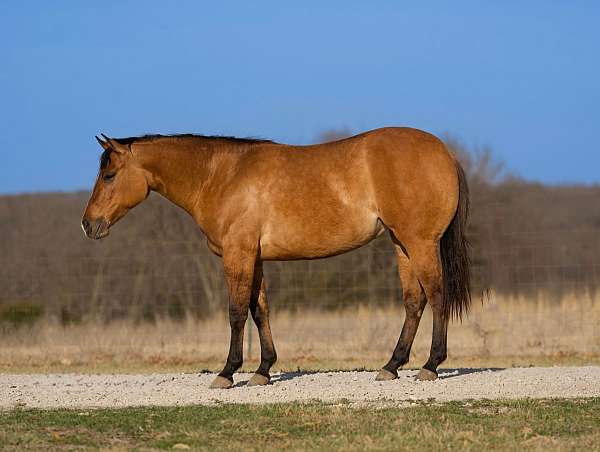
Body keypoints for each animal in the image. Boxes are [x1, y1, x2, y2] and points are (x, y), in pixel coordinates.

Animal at [82, 127, 472, 388]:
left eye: (109, 175)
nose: (88, 224)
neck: (221, 175)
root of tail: (445, 153)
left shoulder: (237, 255)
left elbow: (237, 312)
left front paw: (228, 372)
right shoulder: (254, 258)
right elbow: (260, 311)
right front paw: (263, 370)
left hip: (419, 243)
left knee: (437, 296)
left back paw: (431, 365)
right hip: (401, 244)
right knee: (414, 301)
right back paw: (391, 365)